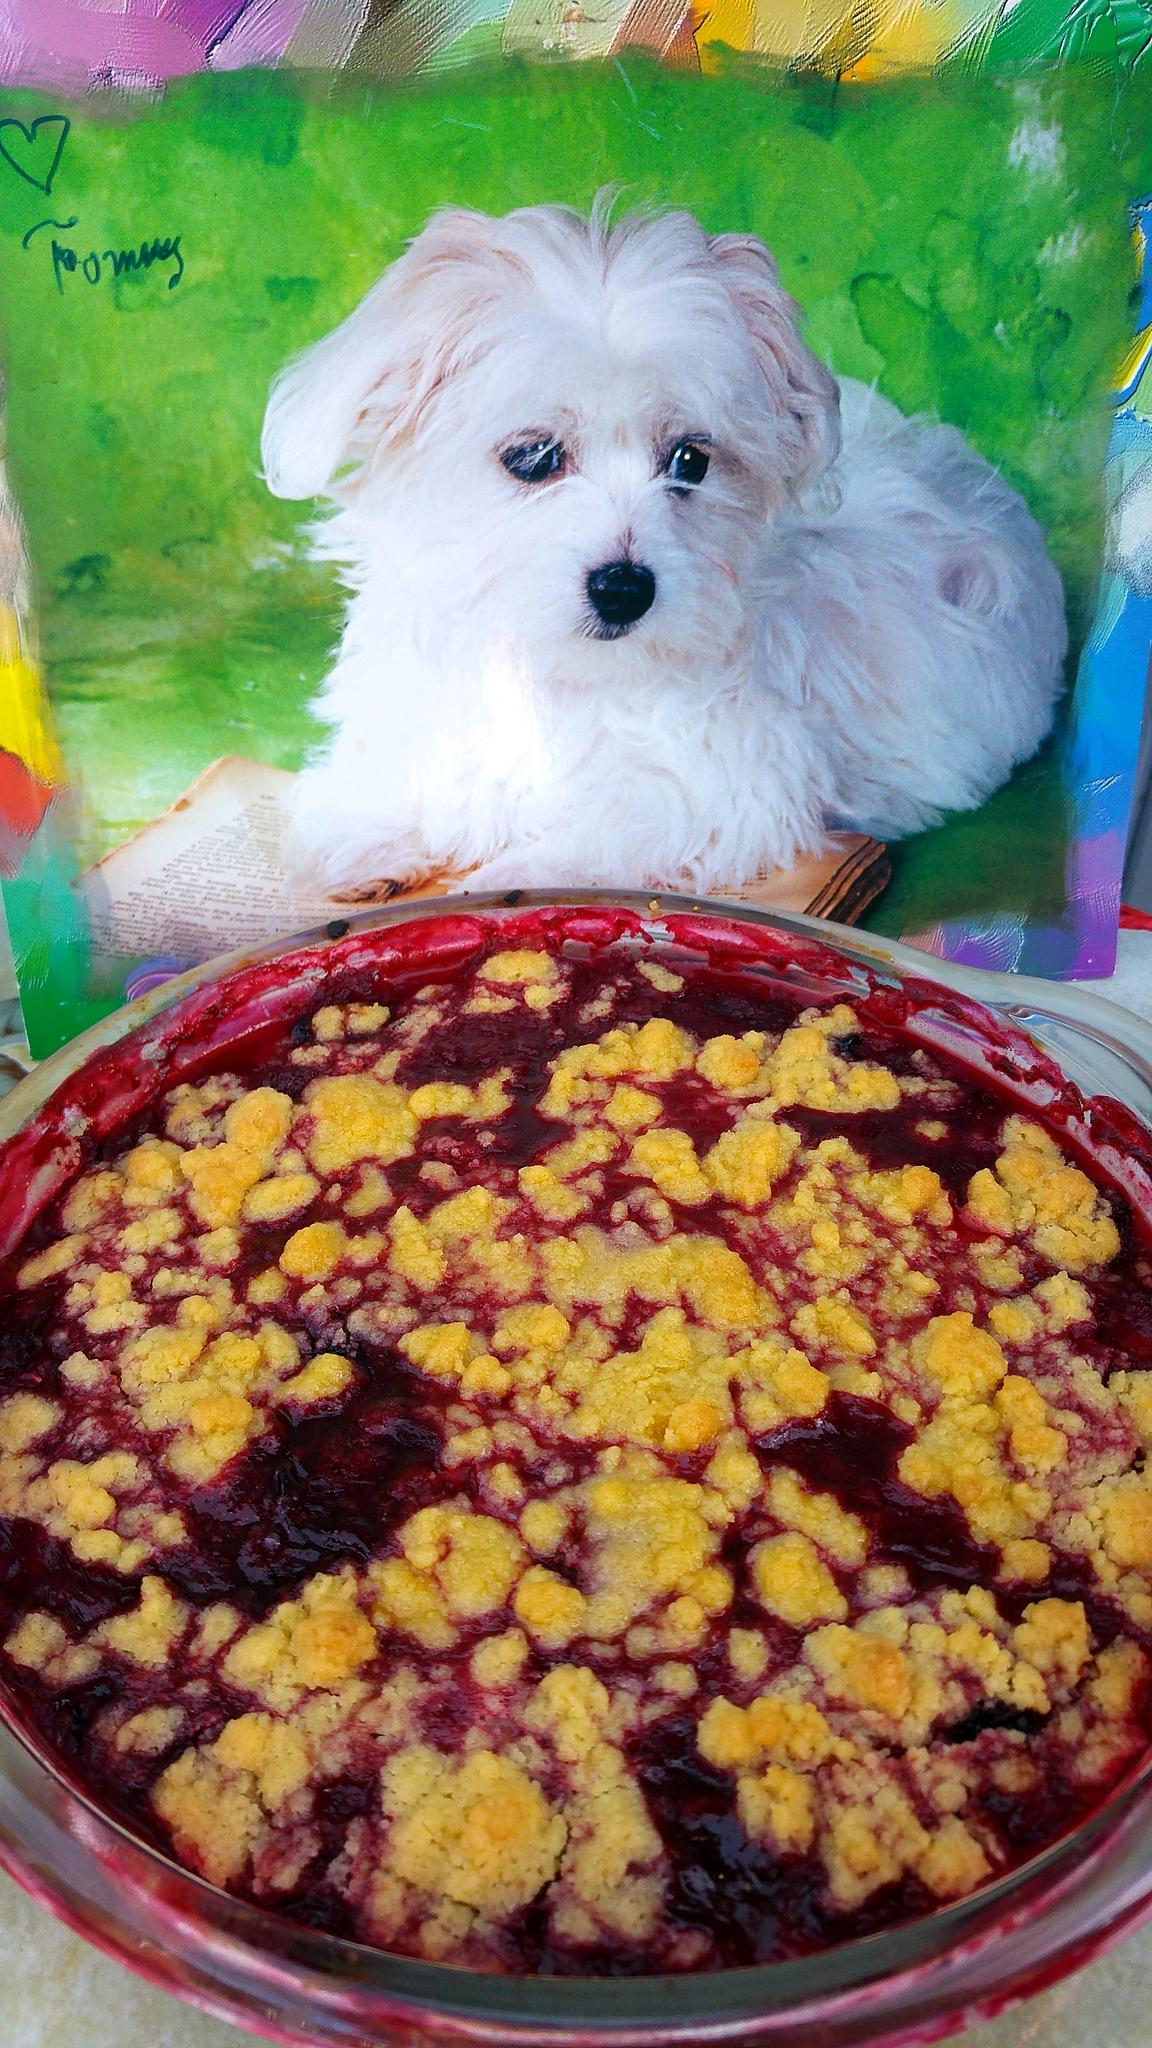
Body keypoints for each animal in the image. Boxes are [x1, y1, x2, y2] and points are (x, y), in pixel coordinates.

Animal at [262, 201, 1065, 897]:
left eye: (690, 461)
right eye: (533, 457)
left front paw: (502, 883)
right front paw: (363, 839)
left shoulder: (726, 788)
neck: (552, 677)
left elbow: (615, 827)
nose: (624, 588)